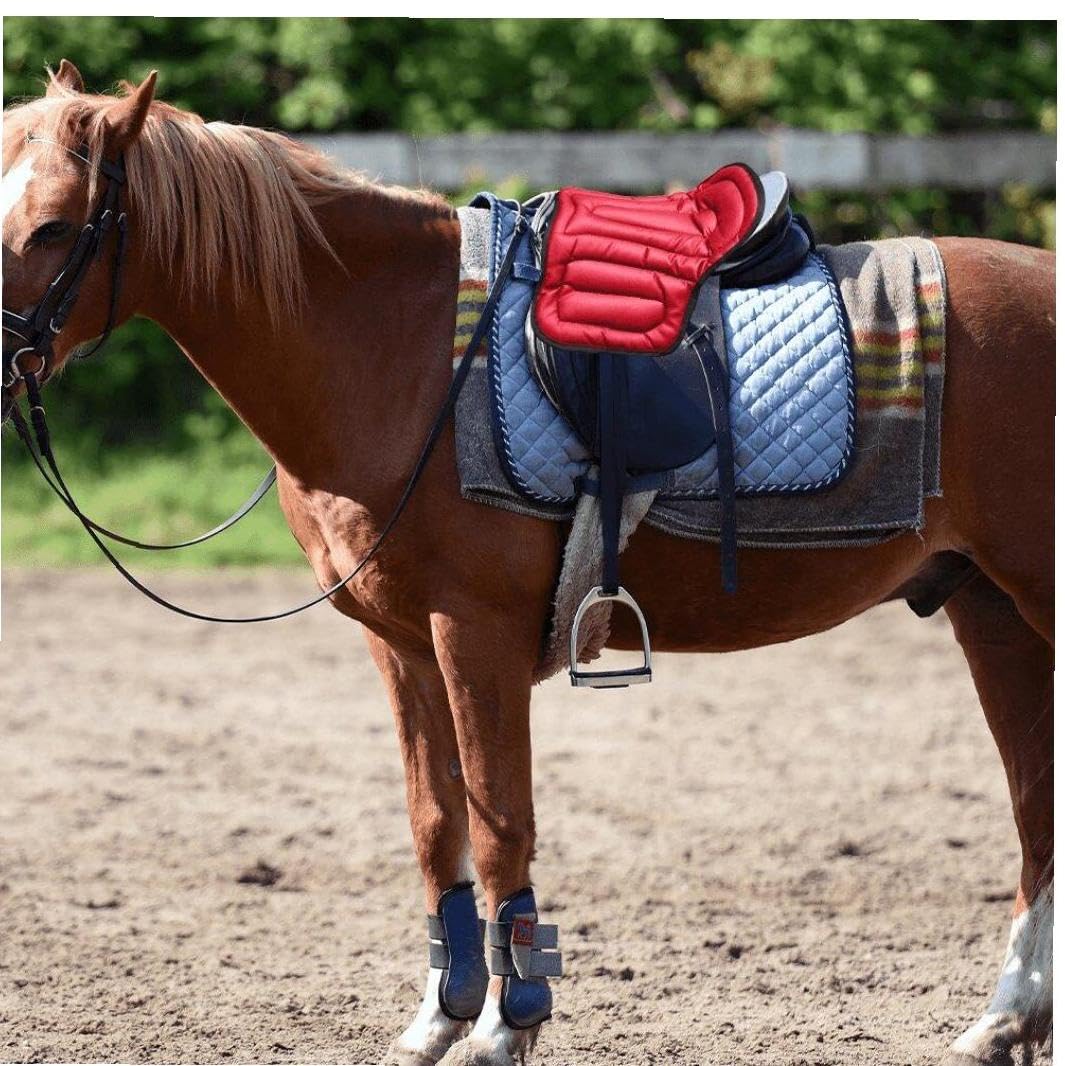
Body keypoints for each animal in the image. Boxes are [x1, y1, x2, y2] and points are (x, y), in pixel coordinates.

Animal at [2, 64, 1052, 1066]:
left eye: (54, 225)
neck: (392, 348)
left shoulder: (476, 635)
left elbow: (501, 822)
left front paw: (507, 1026)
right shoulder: (400, 644)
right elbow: (437, 824)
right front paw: (440, 1015)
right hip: (991, 613)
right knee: (1035, 811)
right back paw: (1004, 1022)